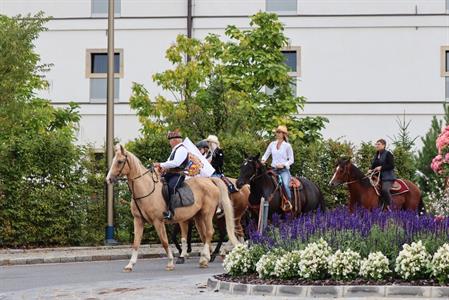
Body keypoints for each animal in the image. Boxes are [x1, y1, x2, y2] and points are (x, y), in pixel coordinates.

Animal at [105, 144, 240, 270]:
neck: (146, 189)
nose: (108, 179)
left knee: (209, 232)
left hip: (207, 214)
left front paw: (170, 262)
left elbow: (164, 242)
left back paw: (204, 258)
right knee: (204, 235)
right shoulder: (138, 220)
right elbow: (136, 243)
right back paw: (205, 259)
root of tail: (210, 180)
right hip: (198, 216)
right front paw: (130, 265)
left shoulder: (158, 221)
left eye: (120, 161)